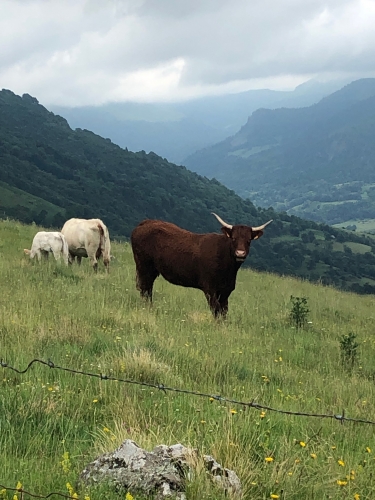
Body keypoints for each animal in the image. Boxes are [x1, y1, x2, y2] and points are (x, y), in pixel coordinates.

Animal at [131, 213, 272, 318]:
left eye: (248, 240)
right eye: (233, 238)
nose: (240, 253)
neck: (228, 270)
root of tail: (145, 222)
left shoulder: (226, 290)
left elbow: (224, 312)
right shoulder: (209, 288)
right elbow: (216, 310)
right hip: (144, 266)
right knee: (145, 289)